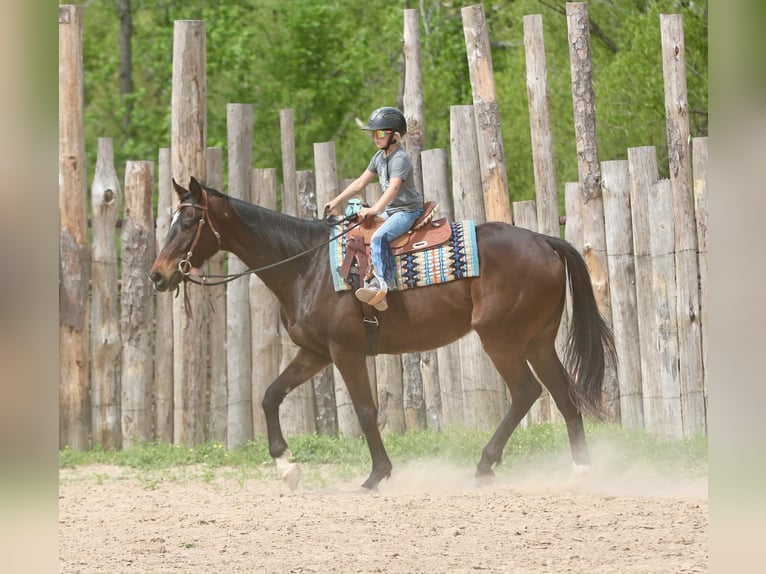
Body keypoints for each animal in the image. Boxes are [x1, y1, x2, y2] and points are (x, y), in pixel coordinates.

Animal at [150, 177, 616, 490]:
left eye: (189, 222)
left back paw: (485, 464)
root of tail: (544, 240)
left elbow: (365, 410)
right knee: (562, 394)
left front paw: (377, 475)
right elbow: (270, 395)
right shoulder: (314, 354)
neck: (306, 266)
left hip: (501, 340)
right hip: (538, 341)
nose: (158, 275)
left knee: (525, 392)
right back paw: (581, 471)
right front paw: (288, 466)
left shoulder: (345, 352)